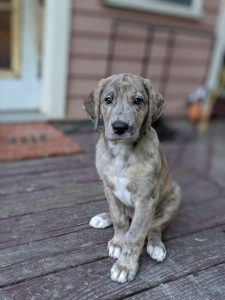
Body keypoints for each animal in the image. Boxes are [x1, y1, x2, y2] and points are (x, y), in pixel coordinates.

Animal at [83, 73, 180, 284]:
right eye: (108, 100)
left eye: (138, 101)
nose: (119, 127)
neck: (122, 151)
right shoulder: (108, 187)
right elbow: (119, 219)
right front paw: (118, 243)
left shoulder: (146, 197)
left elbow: (135, 234)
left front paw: (125, 266)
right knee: (125, 216)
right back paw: (103, 218)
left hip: (174, 197)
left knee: (155, 226)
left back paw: (156, 246)